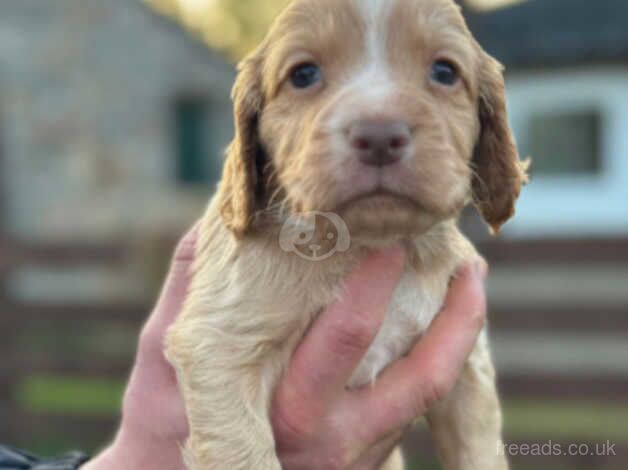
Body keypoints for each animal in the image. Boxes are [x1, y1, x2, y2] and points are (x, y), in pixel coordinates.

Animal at [164, 0, 528, 470]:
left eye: (445, 72)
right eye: (303, 74)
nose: (379, 135)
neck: (365, 240)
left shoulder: (469, 368)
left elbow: (477, 449)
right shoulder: (218, 346)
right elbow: (245, 454)